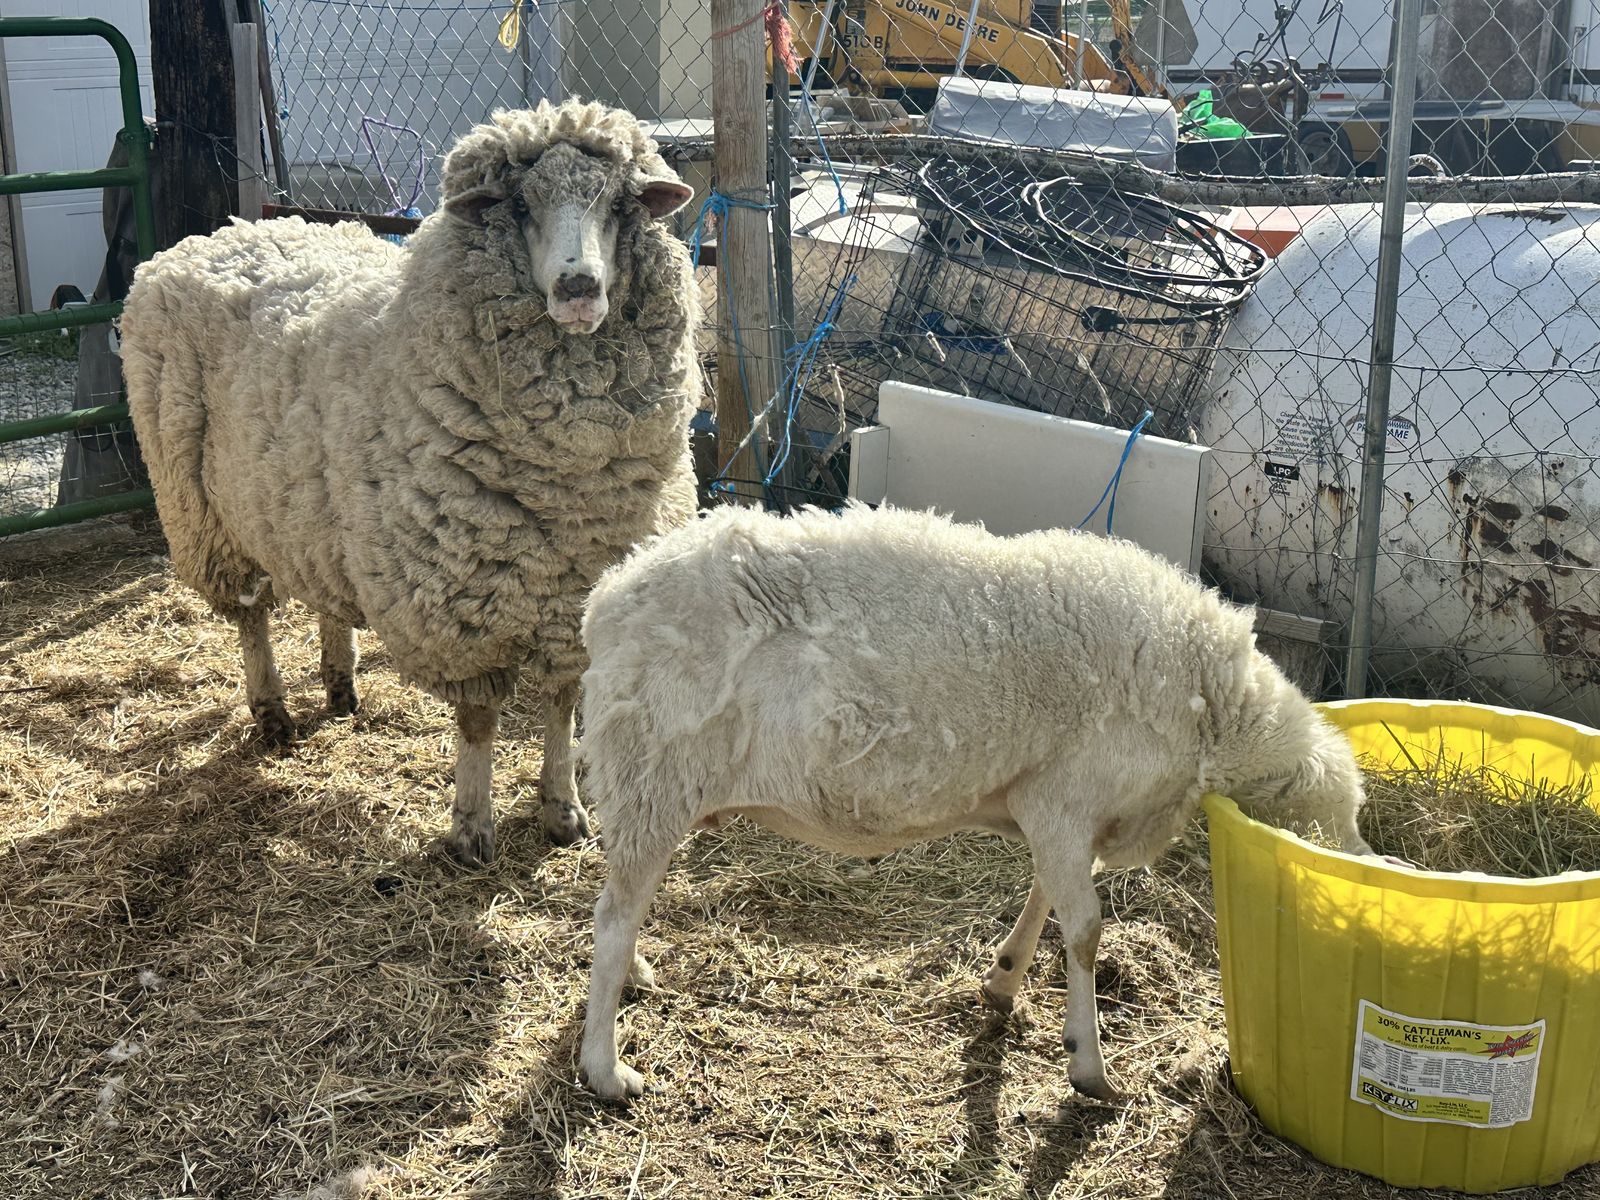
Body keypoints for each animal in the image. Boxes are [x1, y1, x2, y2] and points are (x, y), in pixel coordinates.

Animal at [120, 100, 700, 863]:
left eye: (618, 204)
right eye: (519, 205)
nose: (578, 288)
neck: (570, 485)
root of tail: (217, 234)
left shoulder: (574, 597)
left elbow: (562, 705)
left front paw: (563, 811)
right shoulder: (459, 607)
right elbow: (480, 721)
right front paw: (472, 828)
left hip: (317, 513)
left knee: (327, 596)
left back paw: (340, 685)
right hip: (206, 514)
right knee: (250, 615)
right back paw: (272, 712)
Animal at [575, 502, 1384, 1101]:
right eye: (1329, 826)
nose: (1365, 874)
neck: (1211, 704)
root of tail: (608, 597)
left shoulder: (1053, 809)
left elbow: (1045, 897)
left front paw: (1002, 981)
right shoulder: (1068, 797)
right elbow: (1086, 930)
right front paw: (1090, 1068)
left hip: (652, 786)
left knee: (625, 905)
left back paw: (635, 978)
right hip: (653, 773)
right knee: (610, 919)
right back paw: (606, 1070)